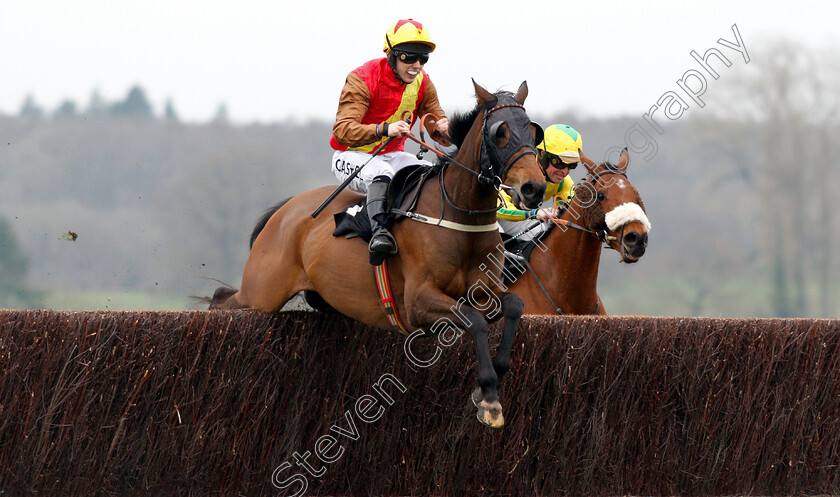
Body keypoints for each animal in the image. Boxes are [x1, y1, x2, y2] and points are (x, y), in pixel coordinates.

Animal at [213, 81, 548, 426]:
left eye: (532, 131)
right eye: (500, 132)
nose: (534, 188)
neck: (460, 215)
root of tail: (285, 210)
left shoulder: (483, 292)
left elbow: (514, 305)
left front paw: (490, 386)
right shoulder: (419, 302)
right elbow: (475, 321)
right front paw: (489, 398)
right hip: (261, 293)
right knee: (222, 299)